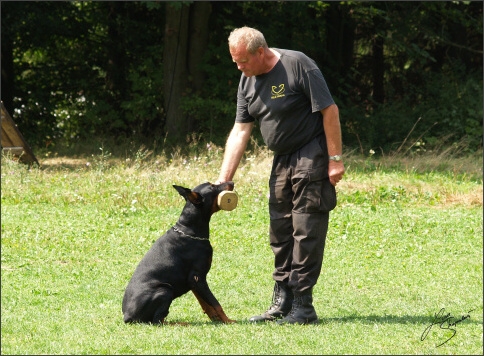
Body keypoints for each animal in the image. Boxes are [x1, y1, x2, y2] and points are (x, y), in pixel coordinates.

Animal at [121, 182, 234, 324]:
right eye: (213, 187)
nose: (232, 183)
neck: (188, 230)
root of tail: (127, 316)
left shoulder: (194, 282)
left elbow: (206, 304)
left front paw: (216, 319)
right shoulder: (197, 277)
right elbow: (215, 303)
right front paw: (229, 321)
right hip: (165, 290)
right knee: (158, 321)